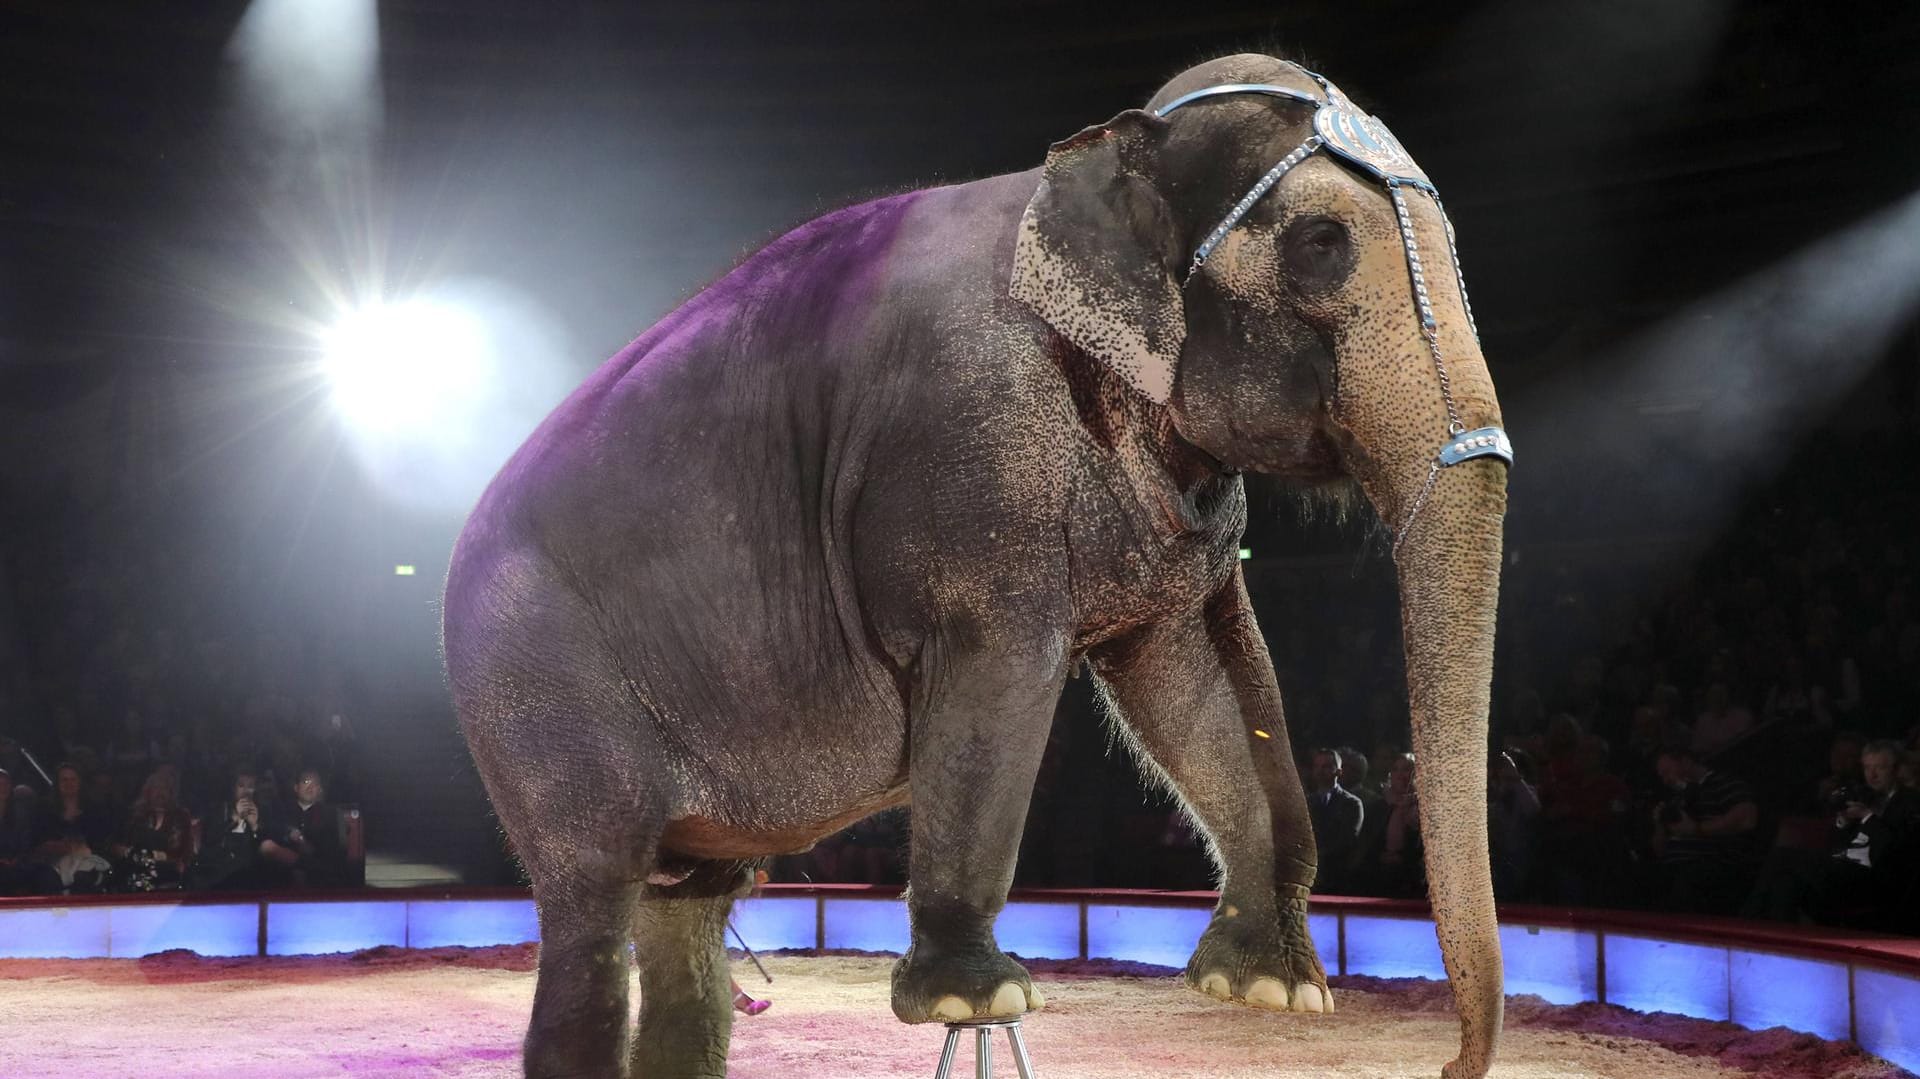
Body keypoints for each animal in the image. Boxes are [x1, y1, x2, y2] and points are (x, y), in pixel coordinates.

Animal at [445, 48, 1512, 1075]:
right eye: (1322, 245)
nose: (1453, 1063)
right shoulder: (968, 455)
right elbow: (998, 678)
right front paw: (977, 998)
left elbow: (1204, 674)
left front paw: (1273, 989)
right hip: (537, 683)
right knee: (594, 899)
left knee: (688, 920)